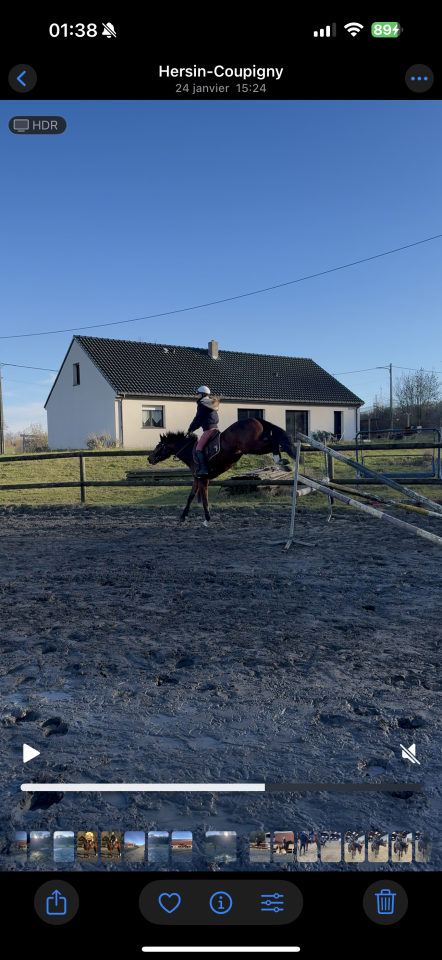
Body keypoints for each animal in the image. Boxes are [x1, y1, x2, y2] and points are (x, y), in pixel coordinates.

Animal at [147, 418, 297, 523]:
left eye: (158, 445)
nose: (150, 458)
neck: (190, 451)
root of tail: (255, 419)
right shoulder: (197, 479)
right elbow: (191, 497)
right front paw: (183, 516)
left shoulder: (203, 479)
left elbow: (205, 500)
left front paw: (207, 519)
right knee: (274, 441)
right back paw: (282, 463)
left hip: (253, 446)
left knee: (273, 441)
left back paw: (281, 461)